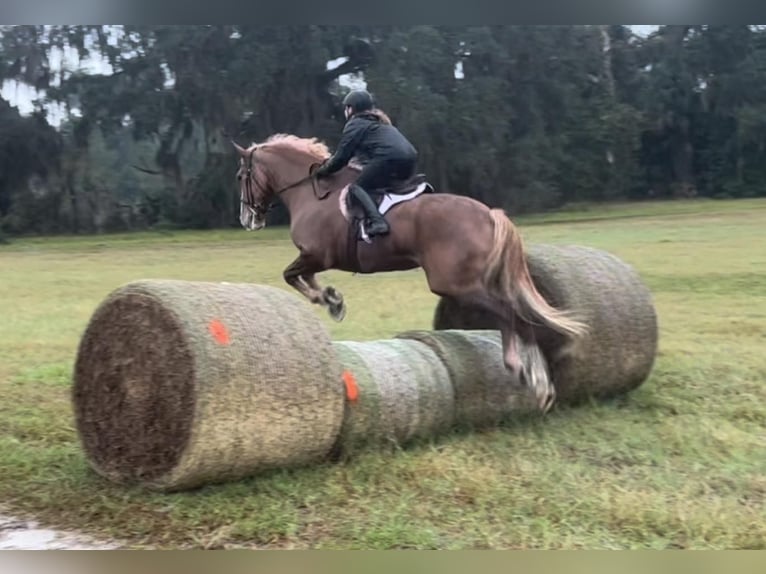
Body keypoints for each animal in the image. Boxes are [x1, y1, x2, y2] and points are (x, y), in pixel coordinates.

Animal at [231, 134, 592, 414]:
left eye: (240, 176)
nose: (248, 219)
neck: (311, 191)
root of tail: (488, 214)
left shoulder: (317, 255)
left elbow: (291, 276)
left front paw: (331, 301)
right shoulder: (316, 259)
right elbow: (302, 279)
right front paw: (333, 299)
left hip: (455, 284)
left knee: (509, 313)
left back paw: (527, 372)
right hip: (478, 280)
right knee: (519, 312)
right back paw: (537, 375)